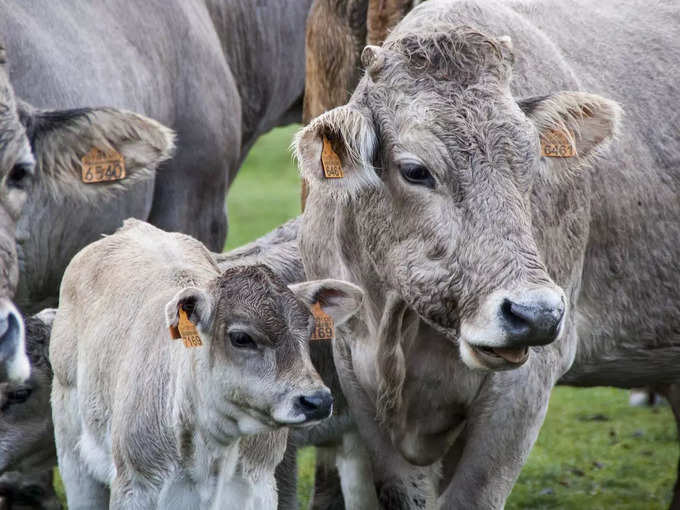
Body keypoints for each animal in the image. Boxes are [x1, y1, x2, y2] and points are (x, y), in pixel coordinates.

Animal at [51, 220, 366, 510]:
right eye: (241, 337)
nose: (317, 401)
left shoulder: (260, 485)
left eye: (308, 329)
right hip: (72, 454)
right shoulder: (135, 487)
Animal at [294, 0, 680, 506]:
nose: (535, 314)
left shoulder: (524, 385)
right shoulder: (354, 371)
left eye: (532, 161)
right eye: (415, 170)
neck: (400, 323)